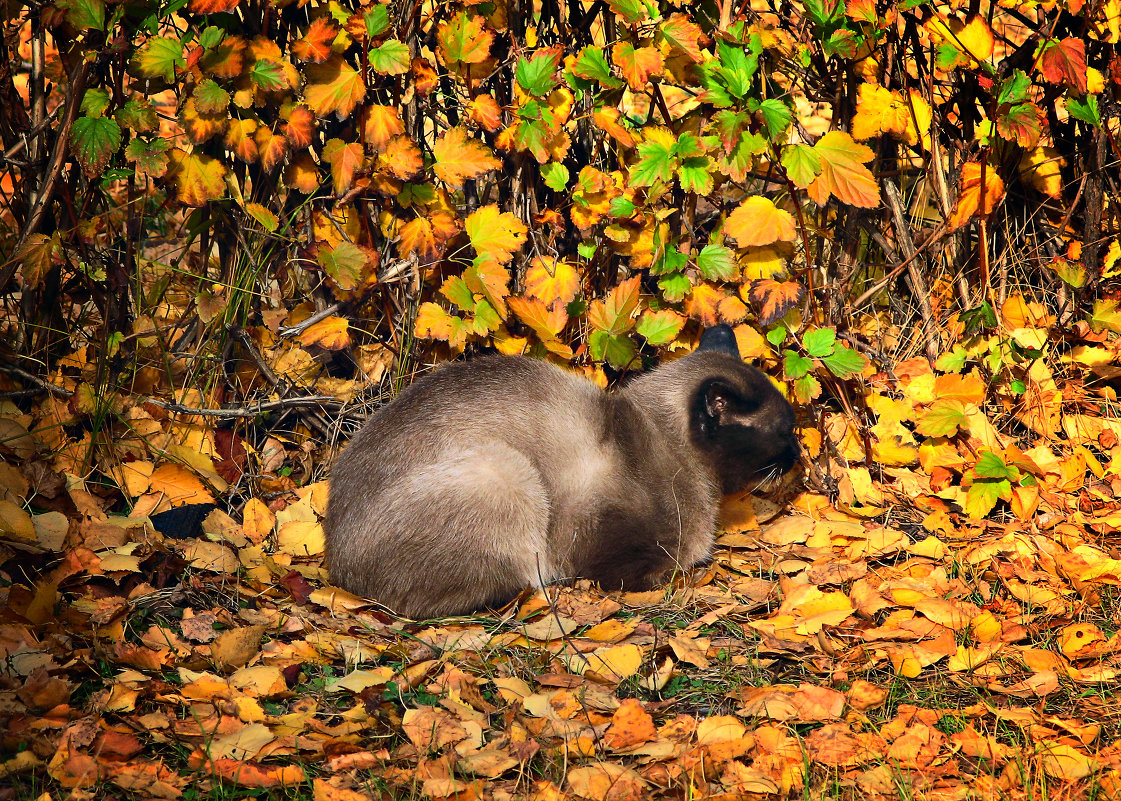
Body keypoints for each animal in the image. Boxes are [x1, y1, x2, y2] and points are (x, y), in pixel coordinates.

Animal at [325, 324, 798, 618]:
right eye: (784, 430)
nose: (798, 455)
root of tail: (336, 569)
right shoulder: (619, 561)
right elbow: (676, 569)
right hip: (505, 471)